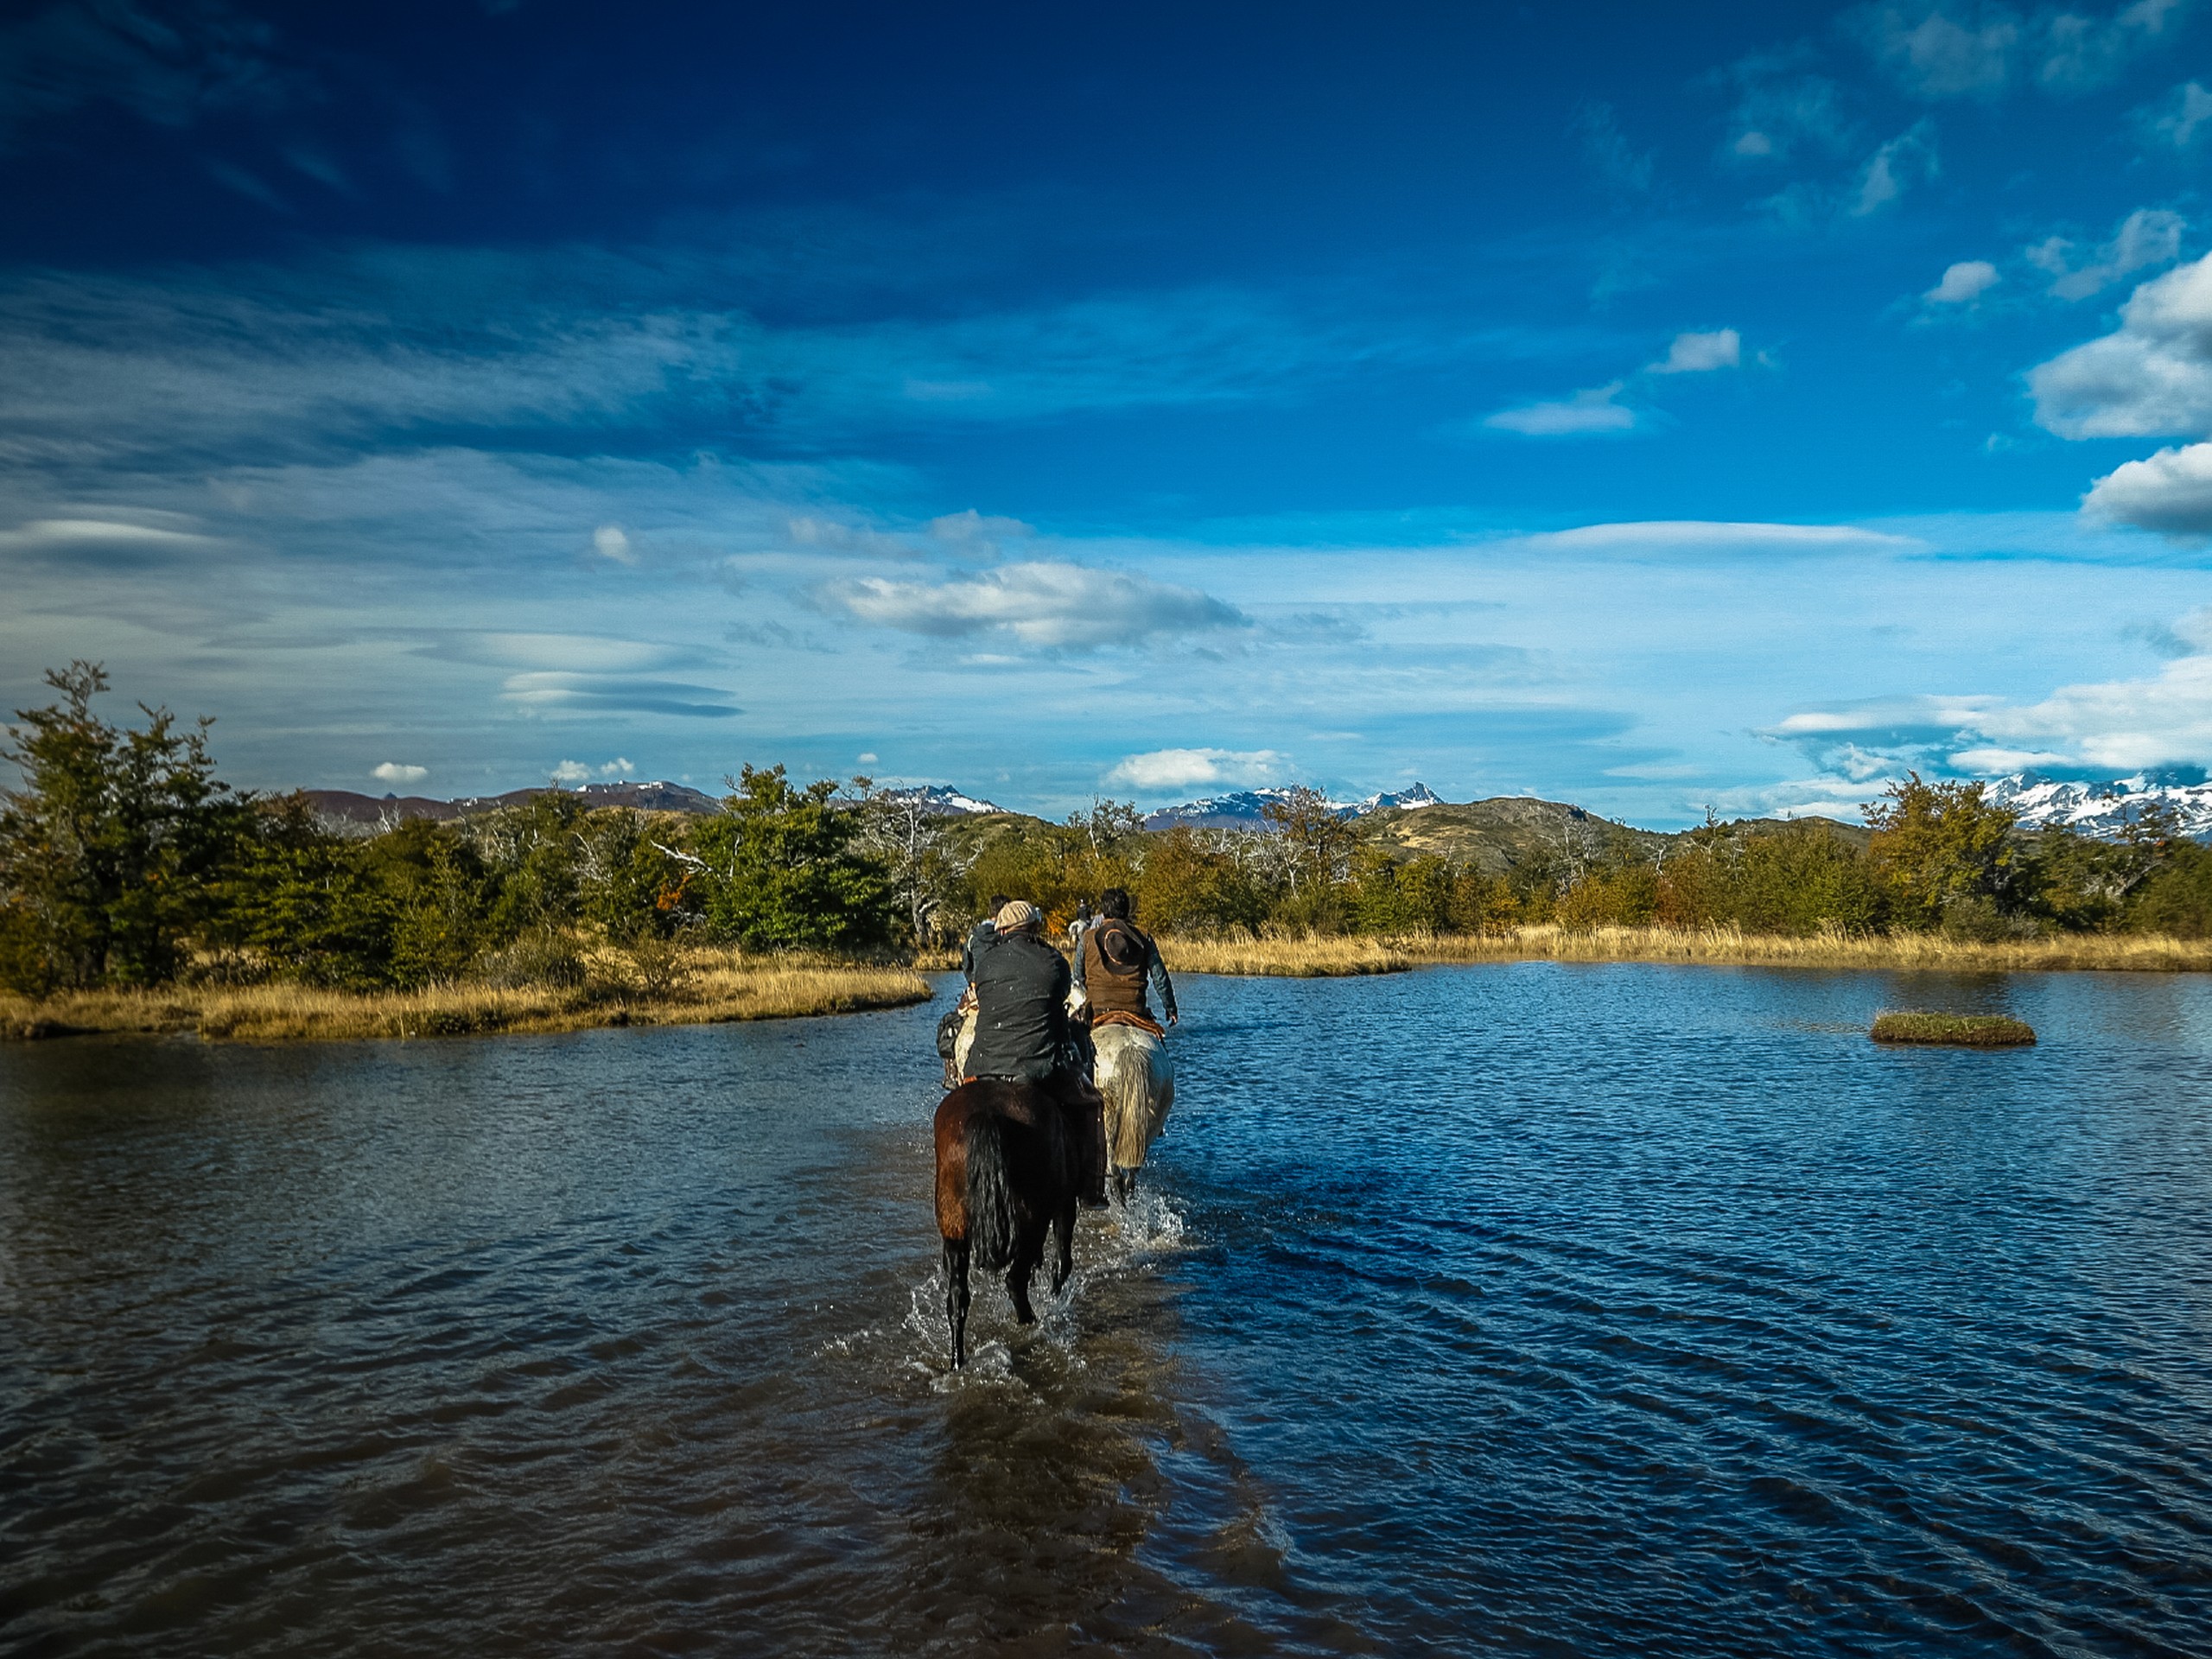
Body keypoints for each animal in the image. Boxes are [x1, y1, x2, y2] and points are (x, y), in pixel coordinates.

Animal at [929, 1084, 1075, 1371]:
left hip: (954, 1228)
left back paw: (956, 1361)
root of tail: (987, 1114)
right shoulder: (1064, 1201)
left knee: (957, 1298)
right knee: (1015, 1281)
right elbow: (1063, 1254)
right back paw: (1031, 1322)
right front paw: (1055, 1291)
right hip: (1034, 1224)